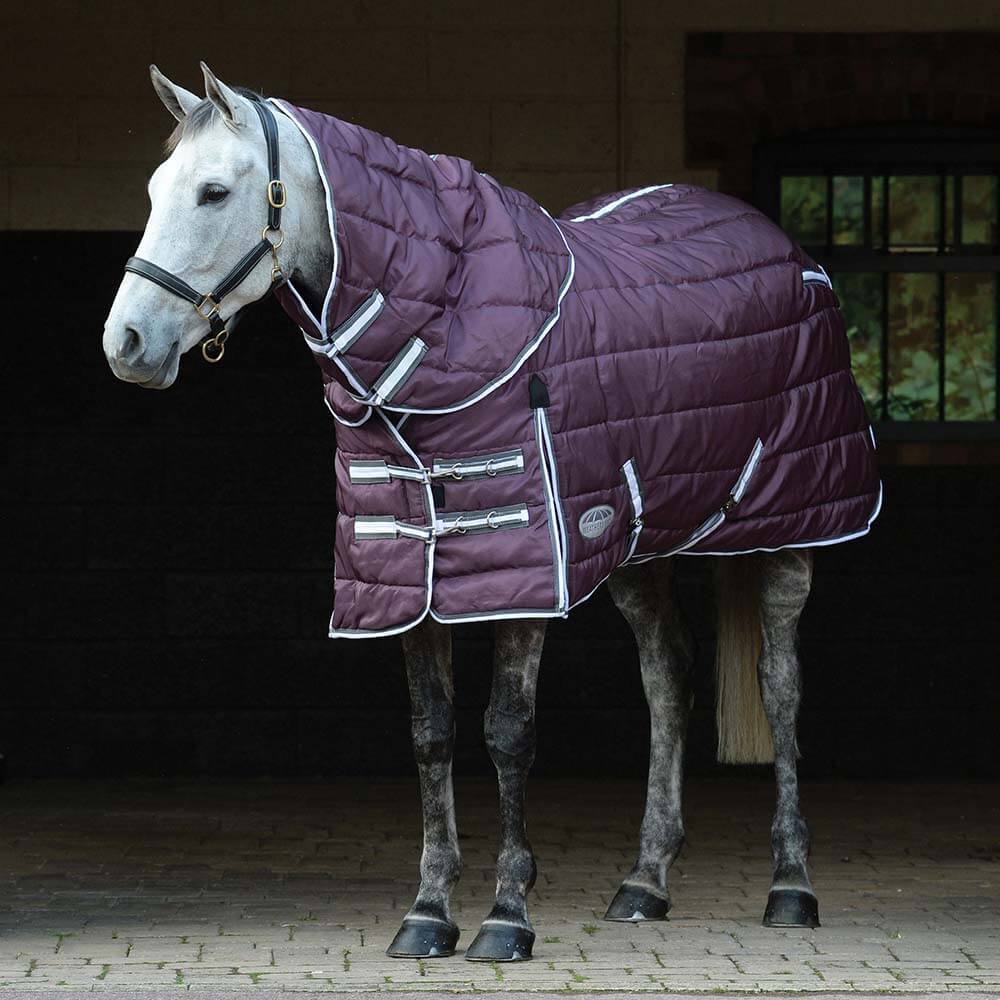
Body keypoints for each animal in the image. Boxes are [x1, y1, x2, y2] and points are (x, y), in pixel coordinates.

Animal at [103, 63, 879, 963]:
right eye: (154, 189)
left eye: (214, 192)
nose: (125, 343)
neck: (443, 335)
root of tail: (785, 249)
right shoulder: (412, 576)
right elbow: (431, 733)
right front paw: (428, 913)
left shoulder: (525, 572)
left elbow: (507, 730)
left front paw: (507, 916)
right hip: (638, 546)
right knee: (668, 675)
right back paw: (644, 882)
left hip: (790, 529)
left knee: (780, 683)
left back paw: (791, 887)